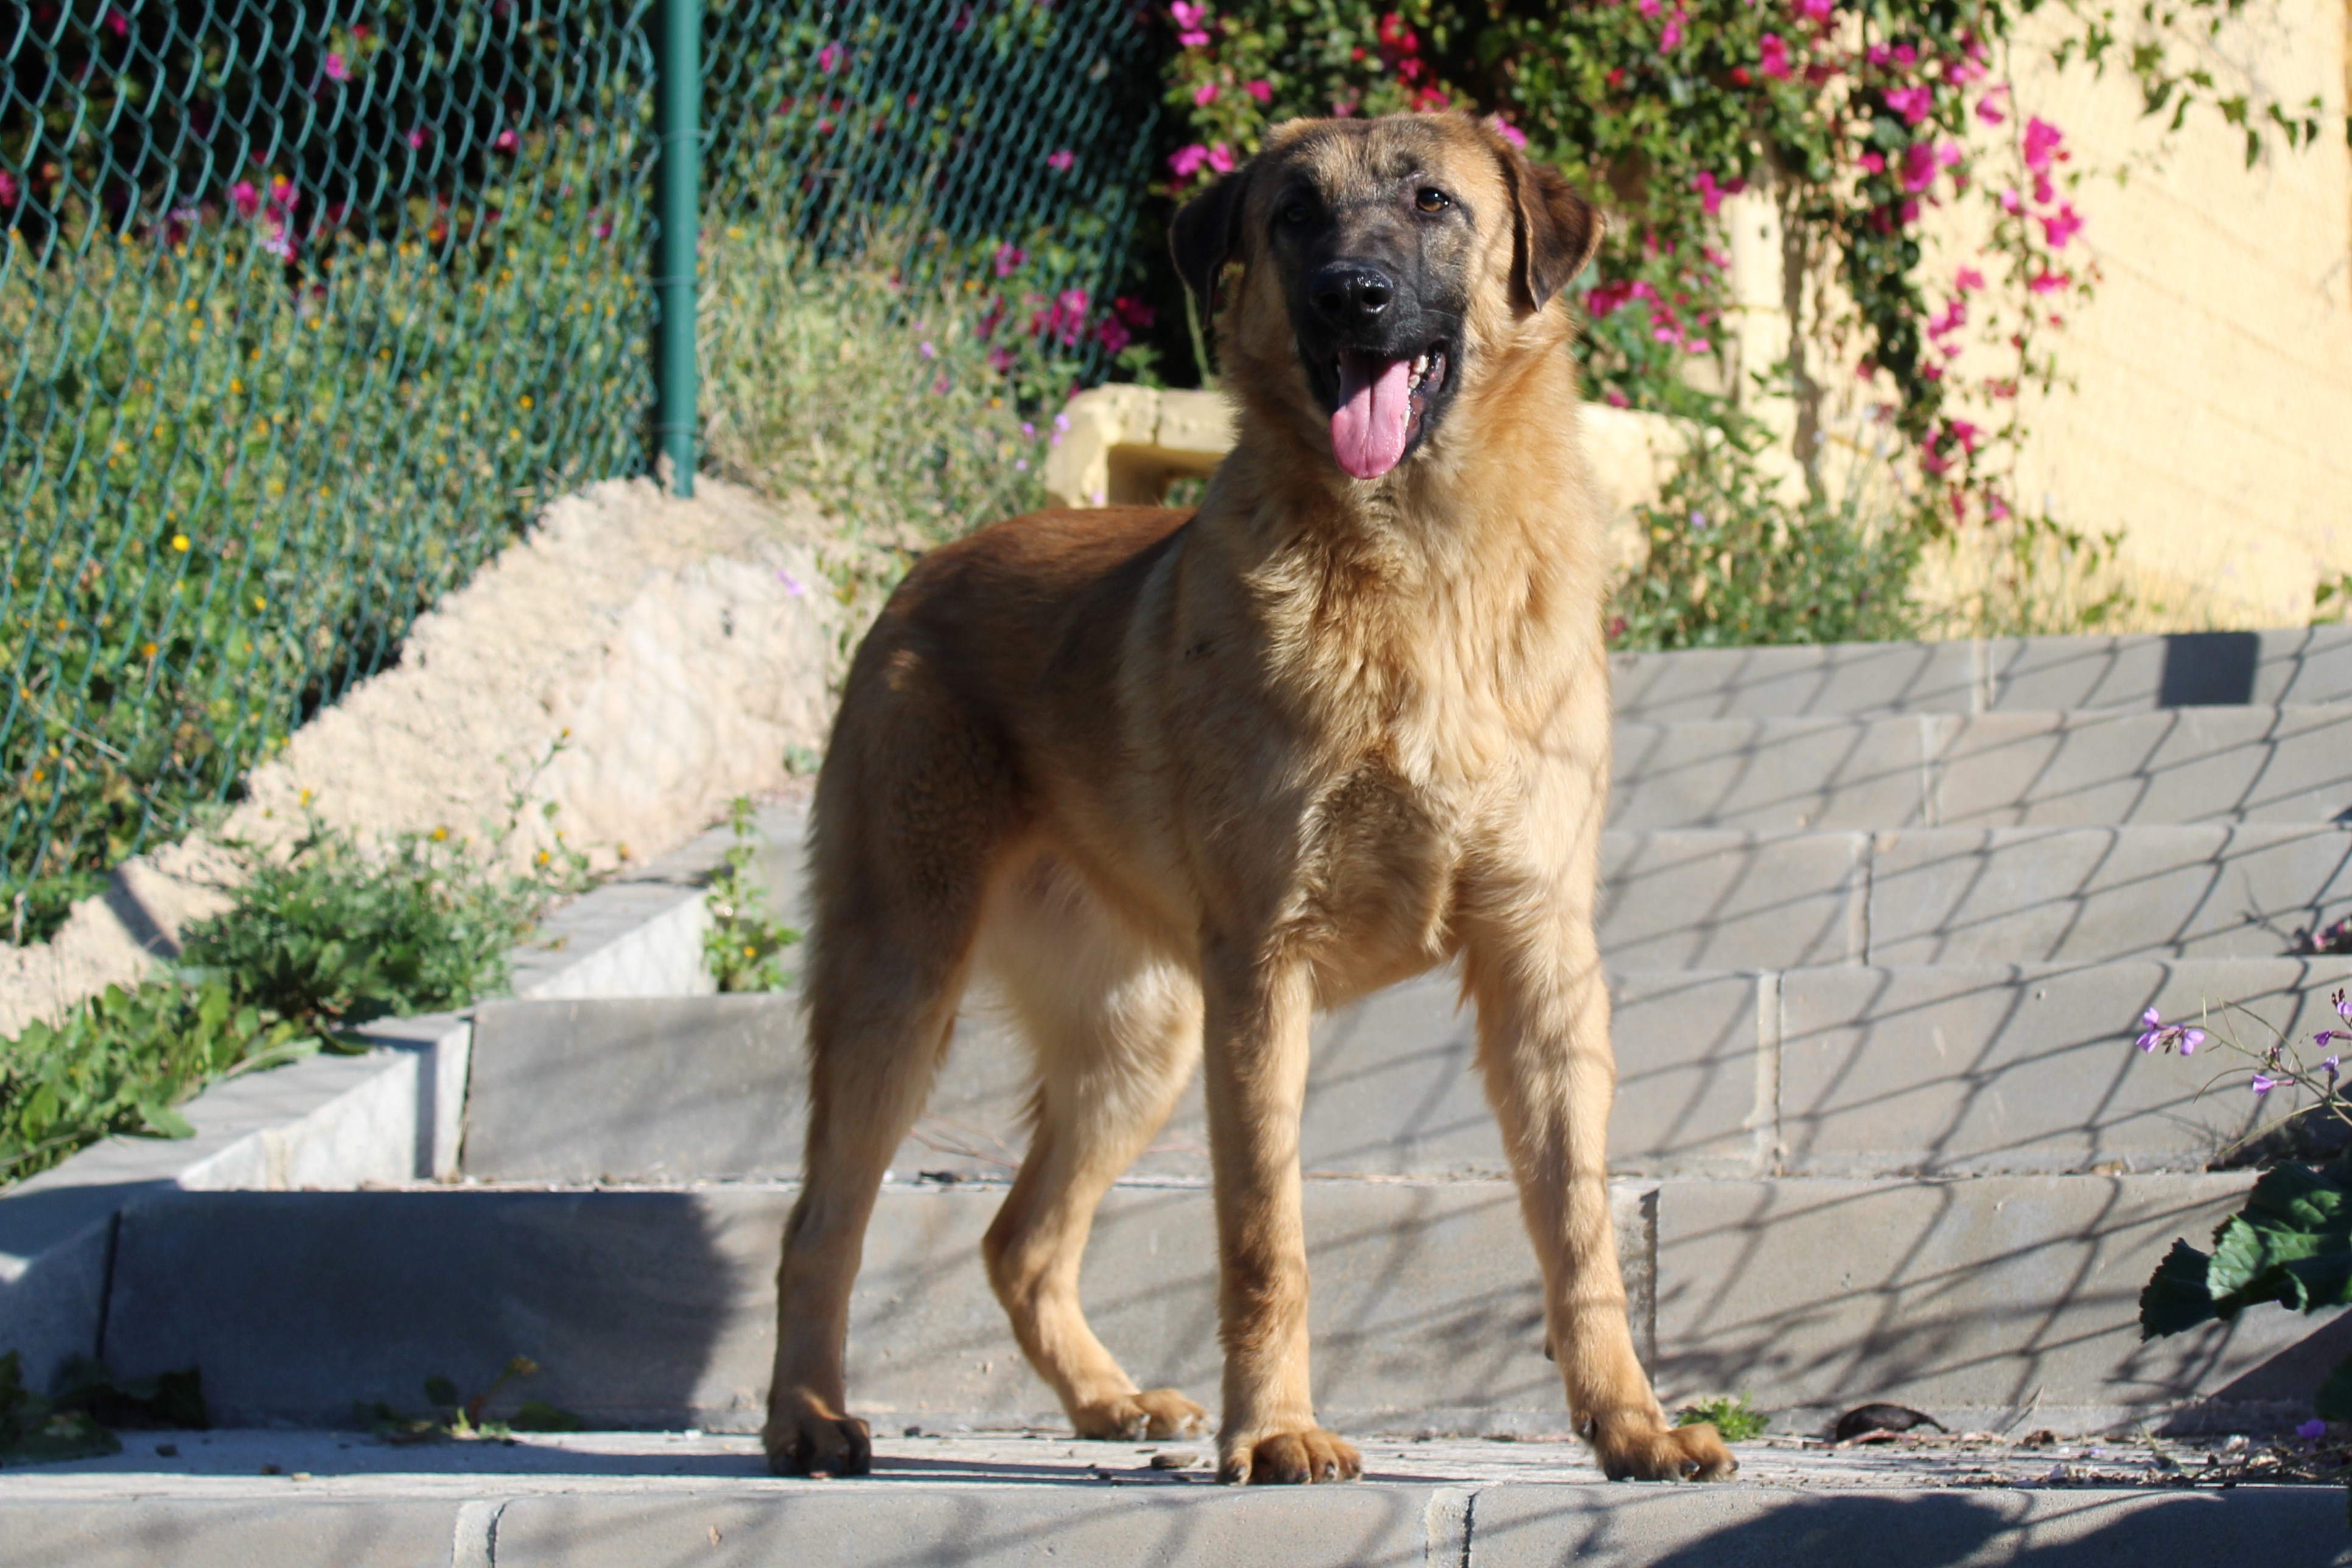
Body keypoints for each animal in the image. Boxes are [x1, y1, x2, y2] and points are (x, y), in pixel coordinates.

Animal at [761, 116, 1740, 1495]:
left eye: (1431, 201)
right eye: (1293, 214)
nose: (1350, 296)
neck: (1416, 565)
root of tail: (921, 576)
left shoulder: (1541, 962)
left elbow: (1578, 1226)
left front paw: (1631, 1423)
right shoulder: (1262, 978)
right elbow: (1266, 1234)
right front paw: (1274, 1431)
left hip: (1140, 1043)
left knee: (1018, 1239)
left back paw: (1107, 1402)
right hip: (901, 992)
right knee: (820, 1222)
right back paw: (805, 1417)